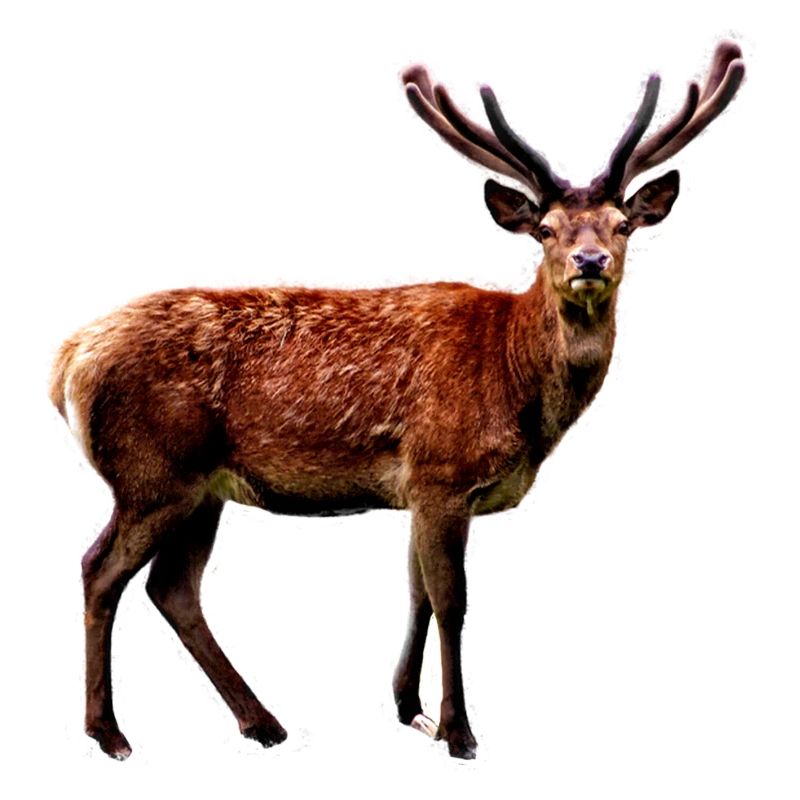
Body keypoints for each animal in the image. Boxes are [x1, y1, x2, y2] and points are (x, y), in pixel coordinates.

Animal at [49, 41, 744, 761]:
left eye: (622, 224)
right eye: (546, 229)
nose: (590, 261)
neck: (518, 389)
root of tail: (69, 360)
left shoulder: (416, 488)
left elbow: (416, 594)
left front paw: (410, 707)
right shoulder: (442, 471)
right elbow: (451, 600)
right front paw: (460, 732)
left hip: (201, 487)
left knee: (174, 588)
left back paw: (261, 722)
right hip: (152, 474)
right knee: (100, 569)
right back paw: (109, 732)